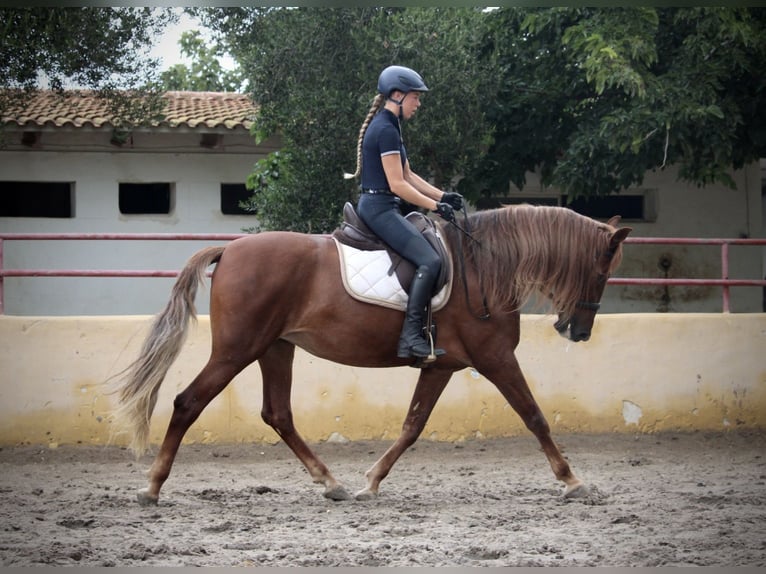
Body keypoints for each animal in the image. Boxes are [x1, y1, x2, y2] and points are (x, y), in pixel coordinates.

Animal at [112, 205, 632, 506]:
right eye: (602, 273)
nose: (579, 331)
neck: (483, 268)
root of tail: (231, 251)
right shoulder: (496, 358)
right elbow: (535, 416)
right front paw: (572, 480)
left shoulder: (443, 365)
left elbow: (412, 425)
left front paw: (371, 481)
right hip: (237, 349)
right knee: (187, 403)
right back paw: (152, 486)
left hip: (275, 348)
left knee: (277, 414)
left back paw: (331, 483)